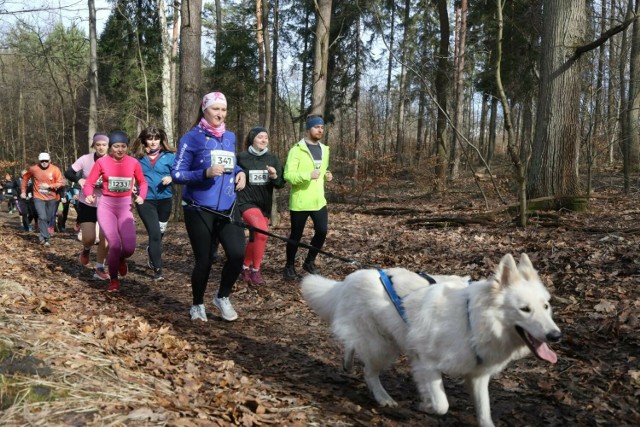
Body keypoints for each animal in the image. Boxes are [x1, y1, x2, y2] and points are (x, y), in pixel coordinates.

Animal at [300, 254, 560, 427]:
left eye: (546, 306)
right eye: (524, 309)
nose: (556, 336)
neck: (471, 320)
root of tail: (349, 278)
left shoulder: (477, 376)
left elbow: (485, 414)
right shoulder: (427, 365)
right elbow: (441, 405)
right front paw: (424, 405)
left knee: (352, 345)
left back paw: (347, 362)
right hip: (382, 347)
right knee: (369, 372)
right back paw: (384, 398)